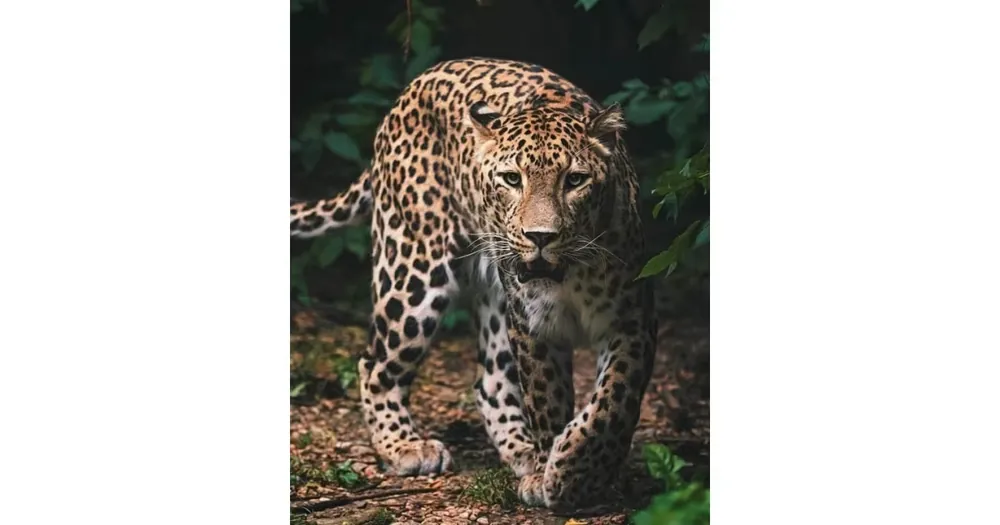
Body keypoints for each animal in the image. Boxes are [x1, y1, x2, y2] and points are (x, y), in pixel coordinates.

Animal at [290, 57, 657, 511]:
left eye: (575, 180)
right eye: (512, 179)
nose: (540, 237)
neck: (569, 273)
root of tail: (412, 87)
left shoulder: (632, 317)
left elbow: (613, 402)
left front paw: (578, 469)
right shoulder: (533, 326)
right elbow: (548, 400)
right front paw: (556, 474)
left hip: (495, 298)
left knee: (490, 382)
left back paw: (521, 452)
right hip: (413, 271)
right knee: (374, 362)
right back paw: (405, 447)